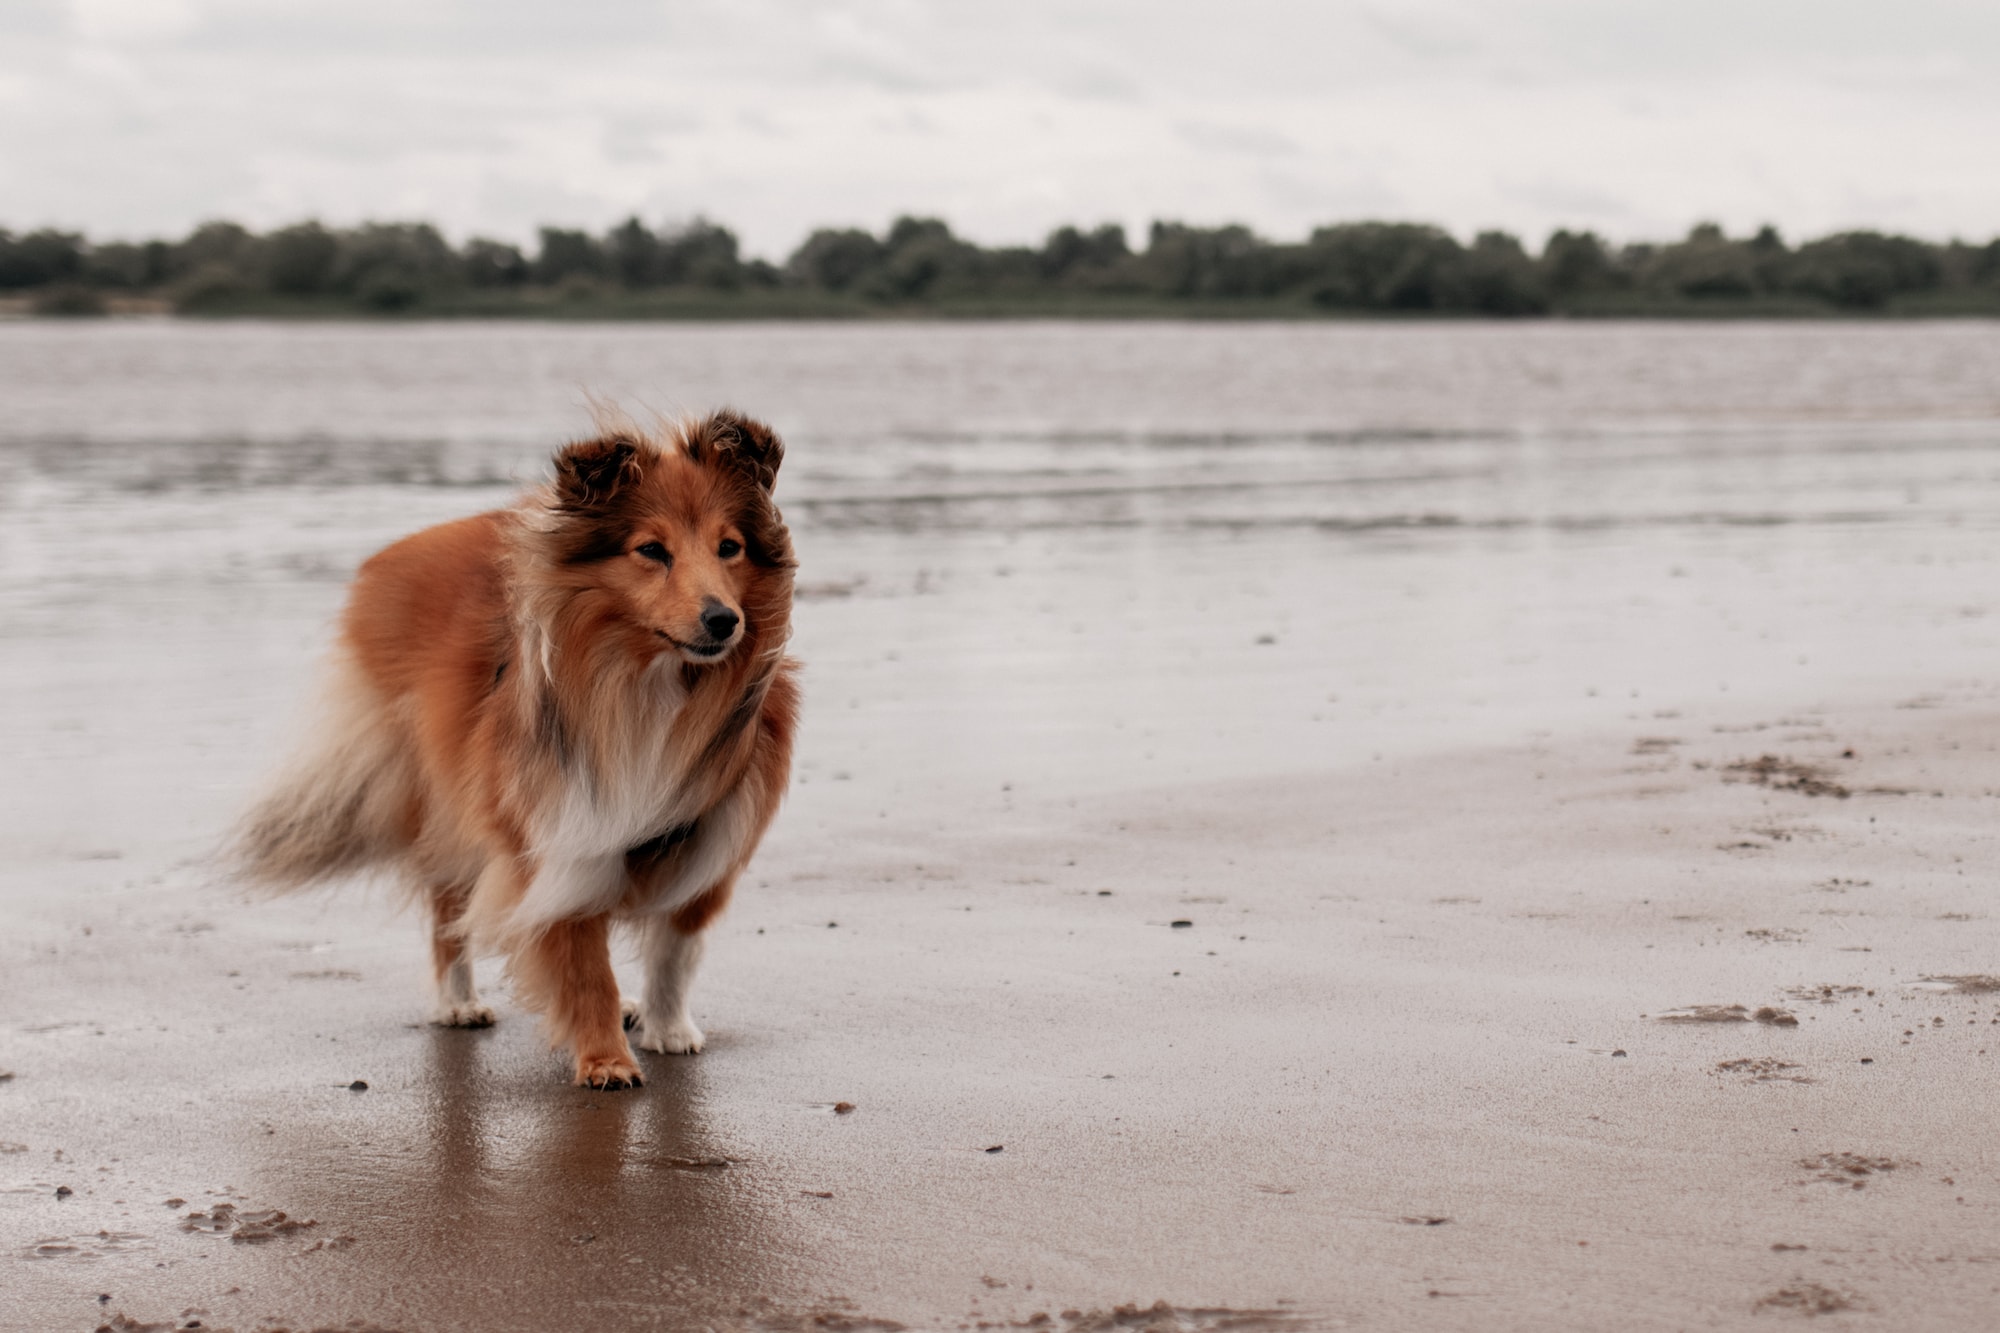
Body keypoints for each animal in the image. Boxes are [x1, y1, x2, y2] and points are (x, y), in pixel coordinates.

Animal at [230, 410, 792, 1088]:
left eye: (729, 547)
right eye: (652, 551)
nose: (723, 621)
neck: (642, 684)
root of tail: (400, 550)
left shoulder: (708, 837)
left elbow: (673, 951)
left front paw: (667, 1027)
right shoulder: (562, 831)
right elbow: (583, 963)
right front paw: (605, 1059)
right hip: (444, 801)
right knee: (449, 909)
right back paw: (458, 1002)